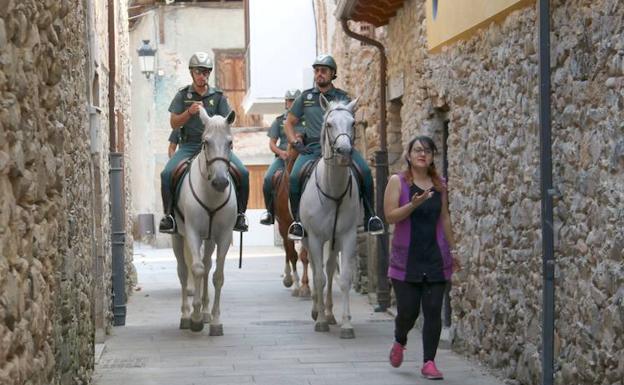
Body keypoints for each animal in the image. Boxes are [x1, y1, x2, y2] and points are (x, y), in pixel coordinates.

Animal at [172, 107, 238, 332]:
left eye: (230, 143)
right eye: (205, 142)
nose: (220, 182)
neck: (211, 194)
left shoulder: (224, 235)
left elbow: (217, 275)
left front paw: (215, 320)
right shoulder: (192, 233)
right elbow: (197, 269)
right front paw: (195, 317)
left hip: (210, 239)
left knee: (208, 266)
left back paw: (207, 312)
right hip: (178, 236)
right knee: (184, 272)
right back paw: (185, 315)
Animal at [272, 147, 312, 296]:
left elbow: (305, 256)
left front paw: (305, 286)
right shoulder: (284, 224)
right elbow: (293, 255)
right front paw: (296, 285)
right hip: (282, 227)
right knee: (287, 249)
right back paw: (288, 278)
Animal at [302, 94, 364, 338]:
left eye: (353, 123)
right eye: (329, 124)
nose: (344, 151)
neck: (334, 190)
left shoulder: (347, 236)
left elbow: (344, 278)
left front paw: (346, 324)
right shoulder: (316, 237)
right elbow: (319, 277)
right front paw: (319, 321)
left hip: (334, 240)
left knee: (329, 268)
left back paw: (329, 313)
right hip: (308, 239)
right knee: (315, 268)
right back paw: (317, 311)